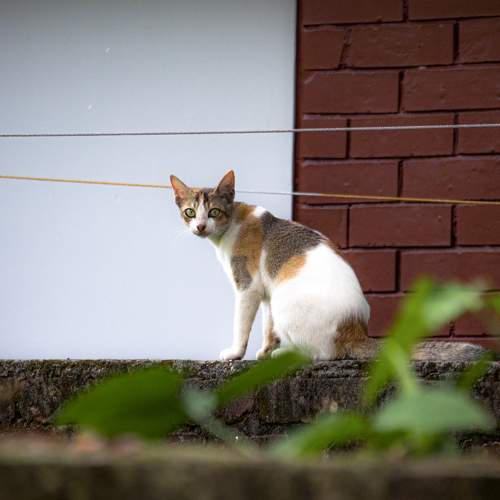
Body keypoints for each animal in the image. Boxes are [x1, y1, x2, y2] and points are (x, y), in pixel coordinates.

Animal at [170, 170, 373, 361]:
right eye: (190, 212)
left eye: (214, 211)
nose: (200, 226)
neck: (232, 223)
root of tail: (356, 331)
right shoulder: (266, 291)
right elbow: (268, 326)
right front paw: (265, 352)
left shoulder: (248, 286)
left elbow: (240, 325)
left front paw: (236, 353)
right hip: (275, 298)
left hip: (283, 304)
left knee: (321, 354)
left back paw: (285, 354)